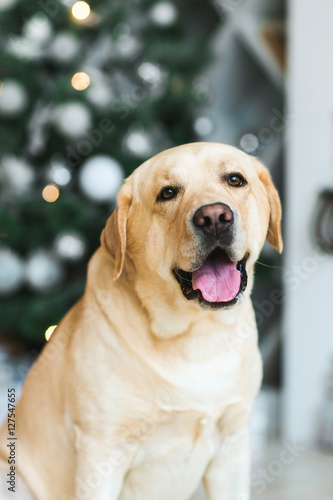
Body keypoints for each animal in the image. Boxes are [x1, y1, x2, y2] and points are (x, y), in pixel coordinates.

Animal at [0, 143, 282, 500]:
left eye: (235, 179)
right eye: (168, 193)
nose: (215, 217)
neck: (197, 334)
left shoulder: (232, 443)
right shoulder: (101, 453)